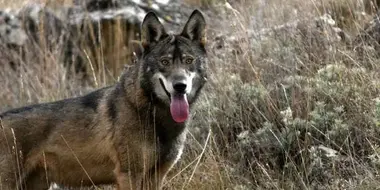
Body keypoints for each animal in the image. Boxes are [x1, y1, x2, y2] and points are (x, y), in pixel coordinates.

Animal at [0, 9, 208, 190]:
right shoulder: (129, 175)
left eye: (188, 60)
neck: (154, 115)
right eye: (164, 62)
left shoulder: (156, 177)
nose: (180, 86)